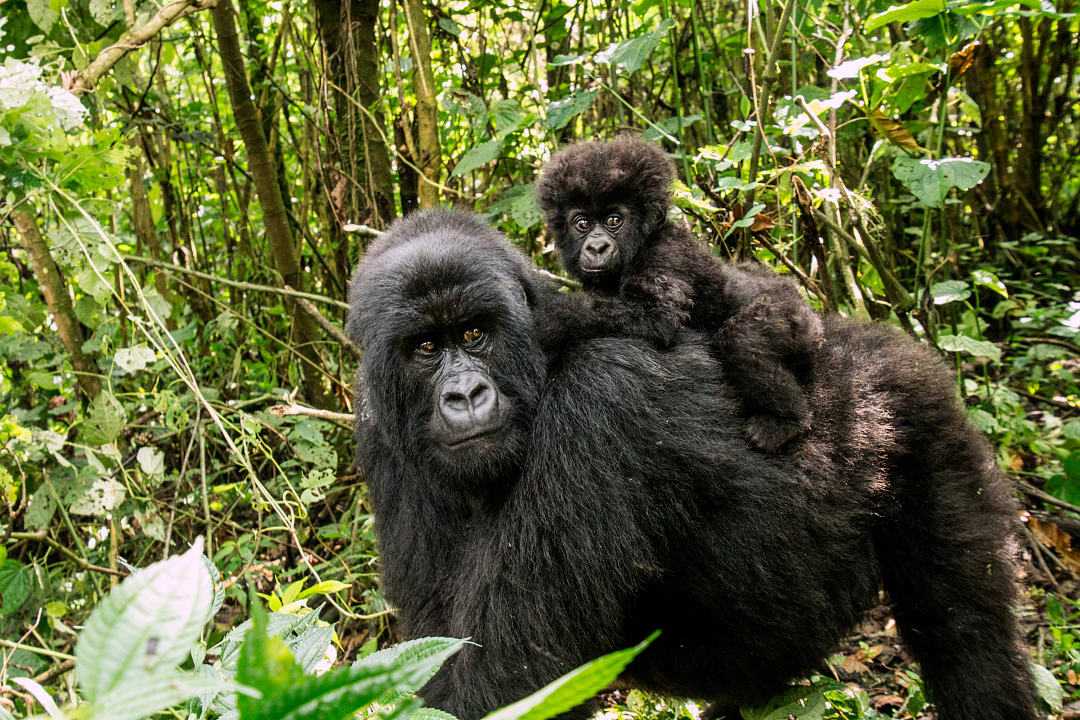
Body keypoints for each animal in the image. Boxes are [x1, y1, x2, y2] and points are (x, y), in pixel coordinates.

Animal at [345, 209, 1036, 720]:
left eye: (474, 334)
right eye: (425, 347)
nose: (465, 395)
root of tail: (874, 340)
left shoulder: (600, 406)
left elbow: (506, 684)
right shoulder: (381, 437)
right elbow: (440, 651)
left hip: (922, 421)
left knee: (964, 633)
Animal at [535, 134, 820, 451]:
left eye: (613, 220)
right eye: (582, 223)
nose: (597, 247)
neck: (643, 240)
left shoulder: (665, 252)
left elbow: (656, 315)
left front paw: (551, 317)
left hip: (794, 317)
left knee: (742, 339)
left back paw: (787, 421)